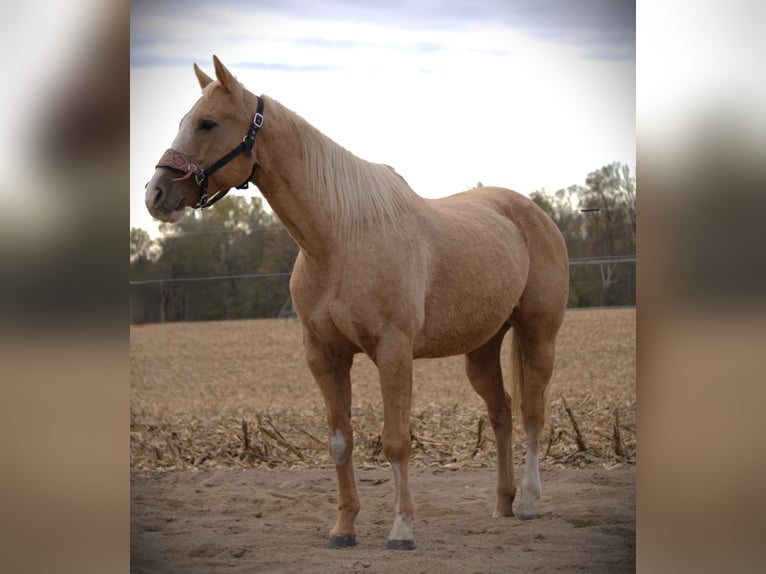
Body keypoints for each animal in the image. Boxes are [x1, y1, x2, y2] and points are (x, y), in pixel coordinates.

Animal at [144, 56, 569, 550]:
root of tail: (533, 213)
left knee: (533, 413)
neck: (340, 240)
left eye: (207, 123)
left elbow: (396, 440)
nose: (156, 195)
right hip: (482, 347)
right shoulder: (325, 356)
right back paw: (503, 503)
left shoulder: (393, 351)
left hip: (538, 335)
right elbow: (339, 441)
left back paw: (530, 502)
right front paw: (343, 528)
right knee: (501, 413)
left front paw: (402, 529)